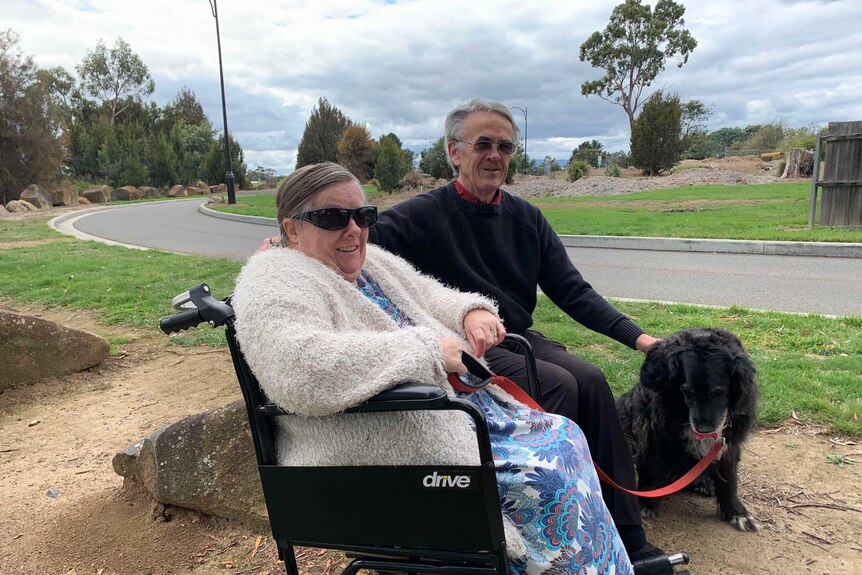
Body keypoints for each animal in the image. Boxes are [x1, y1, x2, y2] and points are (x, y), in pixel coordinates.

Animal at [616, 328, 764, 532]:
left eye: (719, 392)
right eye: (688, 392)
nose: (704, 430)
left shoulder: (728, 444)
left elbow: (729, 478)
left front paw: (737, 513)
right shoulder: (656, 436)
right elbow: (654, 471)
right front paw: (646, 504)